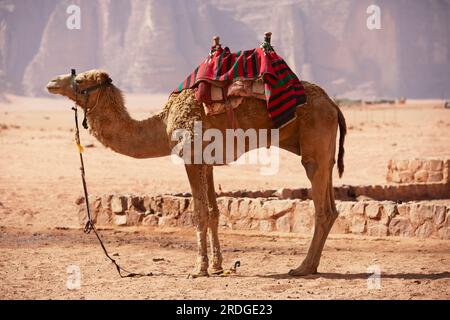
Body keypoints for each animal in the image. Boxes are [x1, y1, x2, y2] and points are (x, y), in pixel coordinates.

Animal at [46, 68, 348, 278]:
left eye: (80, 79)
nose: (51, 82)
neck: (163, 123)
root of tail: (334, 105)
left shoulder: (191, 157)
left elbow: (199, 212)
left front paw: (198, 269)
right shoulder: (207, 161)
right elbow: (214, 212)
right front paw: (217, 266)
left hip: (315, 140)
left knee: (321, 204)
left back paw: (303, 267)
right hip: (326, 150)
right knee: (331, 203)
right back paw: (310, 265)